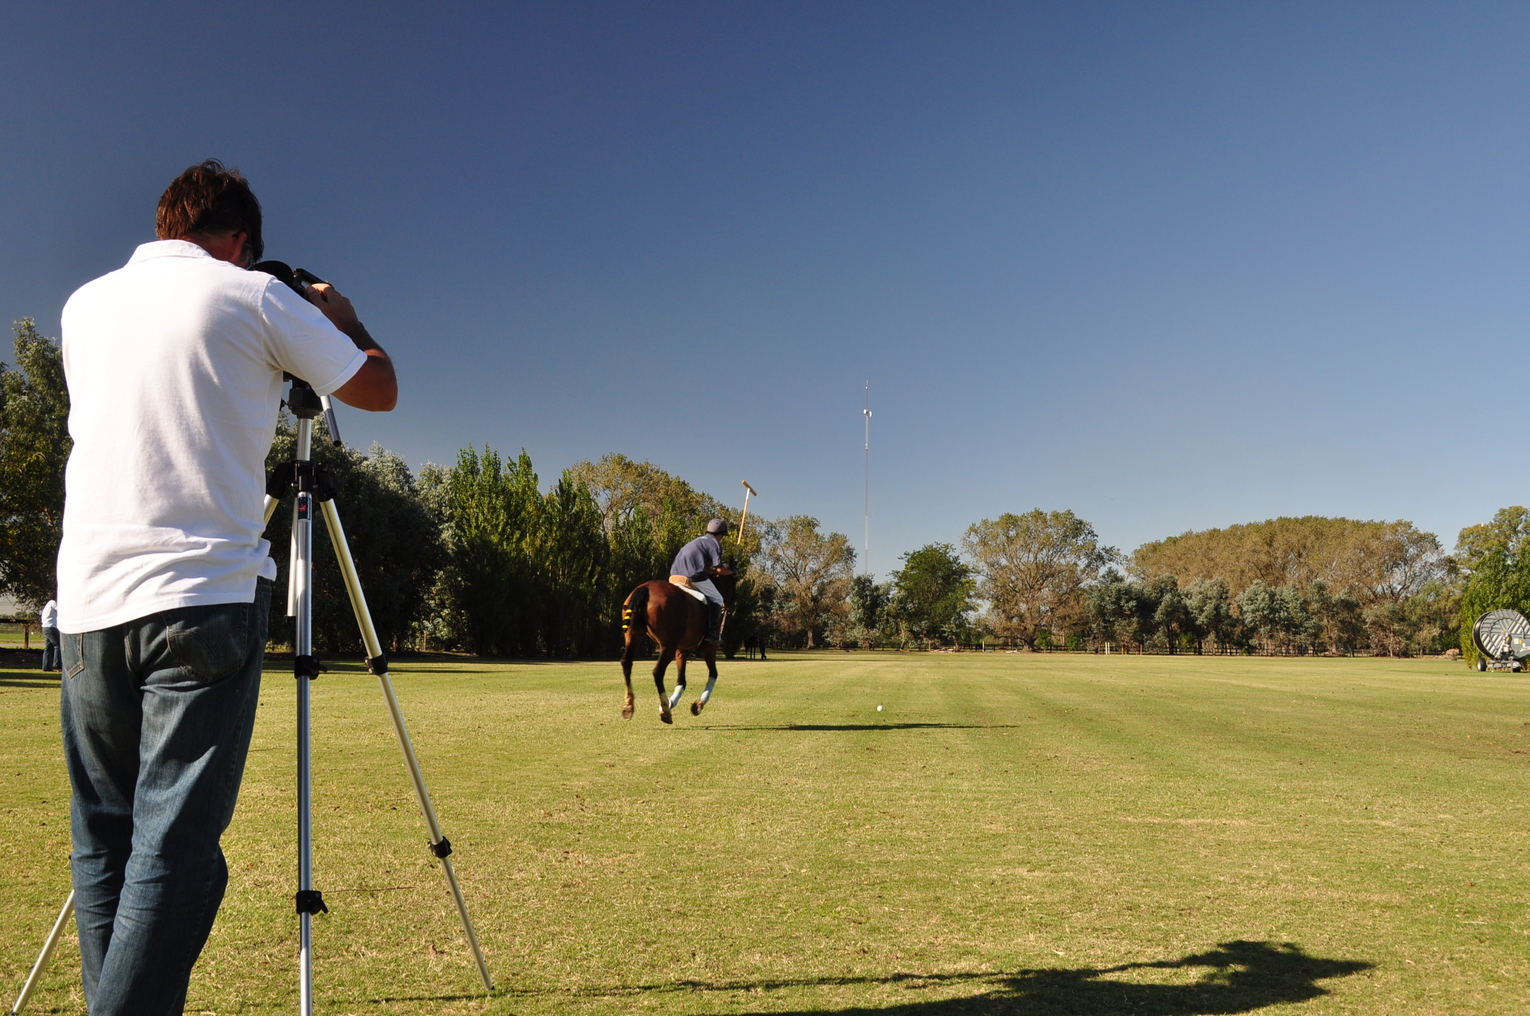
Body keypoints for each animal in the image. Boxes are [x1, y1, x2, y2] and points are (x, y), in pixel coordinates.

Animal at [621, 572, 740, 722]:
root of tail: (645, 588)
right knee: (657, 672)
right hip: (668, 645)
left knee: (626, 663)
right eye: (734, 581)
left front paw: (672, 702)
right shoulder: (709, 647)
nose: (734, 606)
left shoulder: (681, 650)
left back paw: (629, 706)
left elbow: (681, 681)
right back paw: (665, 710)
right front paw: (698, 704)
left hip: (634, 635)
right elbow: (714, 673)